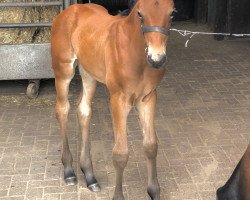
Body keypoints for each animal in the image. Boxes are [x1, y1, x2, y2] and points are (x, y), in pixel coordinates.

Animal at [51, 0, 175, 199]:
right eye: (140, 14)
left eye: (172, 13)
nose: (157, 59)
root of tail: (71, 9)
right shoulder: (118, 100)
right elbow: (120, 153)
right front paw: (118, 195)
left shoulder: (148, 98)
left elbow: (151, 145)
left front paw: (154, 191)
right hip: (63, 71)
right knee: (62, 110)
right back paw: (69, 171)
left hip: (88, 73)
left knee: (83, 110)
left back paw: (90, 175)